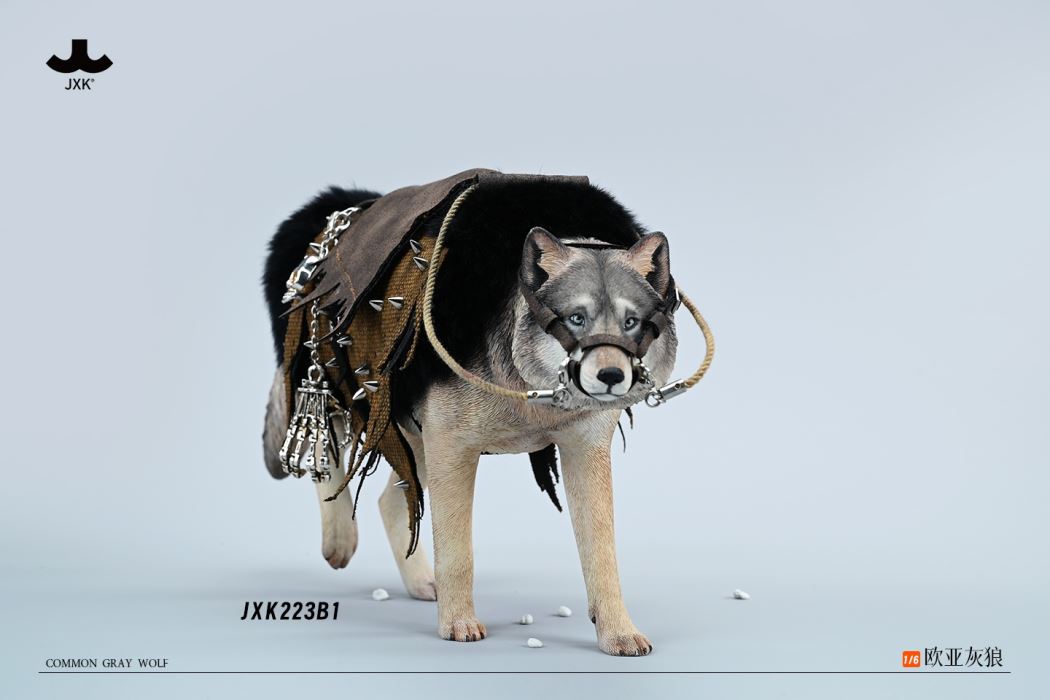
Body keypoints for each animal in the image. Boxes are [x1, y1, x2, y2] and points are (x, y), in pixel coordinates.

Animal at [262, 177, 677, 656]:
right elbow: (458, 552)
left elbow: (602, 552)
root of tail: (330, 206)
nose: (612, 376)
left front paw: (618, 633)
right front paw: (458, 624)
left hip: (416, 437)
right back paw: (339, 541)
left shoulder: (583, 450)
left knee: (390, 500)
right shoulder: (454, 448)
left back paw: (421, 582)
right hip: (337, 387)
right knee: (322, 449)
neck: (529, 390)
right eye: (576, 318)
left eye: (633, 322)